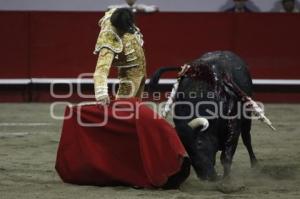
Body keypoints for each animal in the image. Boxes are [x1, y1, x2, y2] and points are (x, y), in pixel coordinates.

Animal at [149, 51, 258, 180]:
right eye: (185, 149)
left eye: (199, 143)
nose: (206, 176)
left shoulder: (233, 128)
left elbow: (226, 158)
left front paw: (226, 181)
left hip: (247, 114)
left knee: (247, 138)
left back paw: (255, 164)